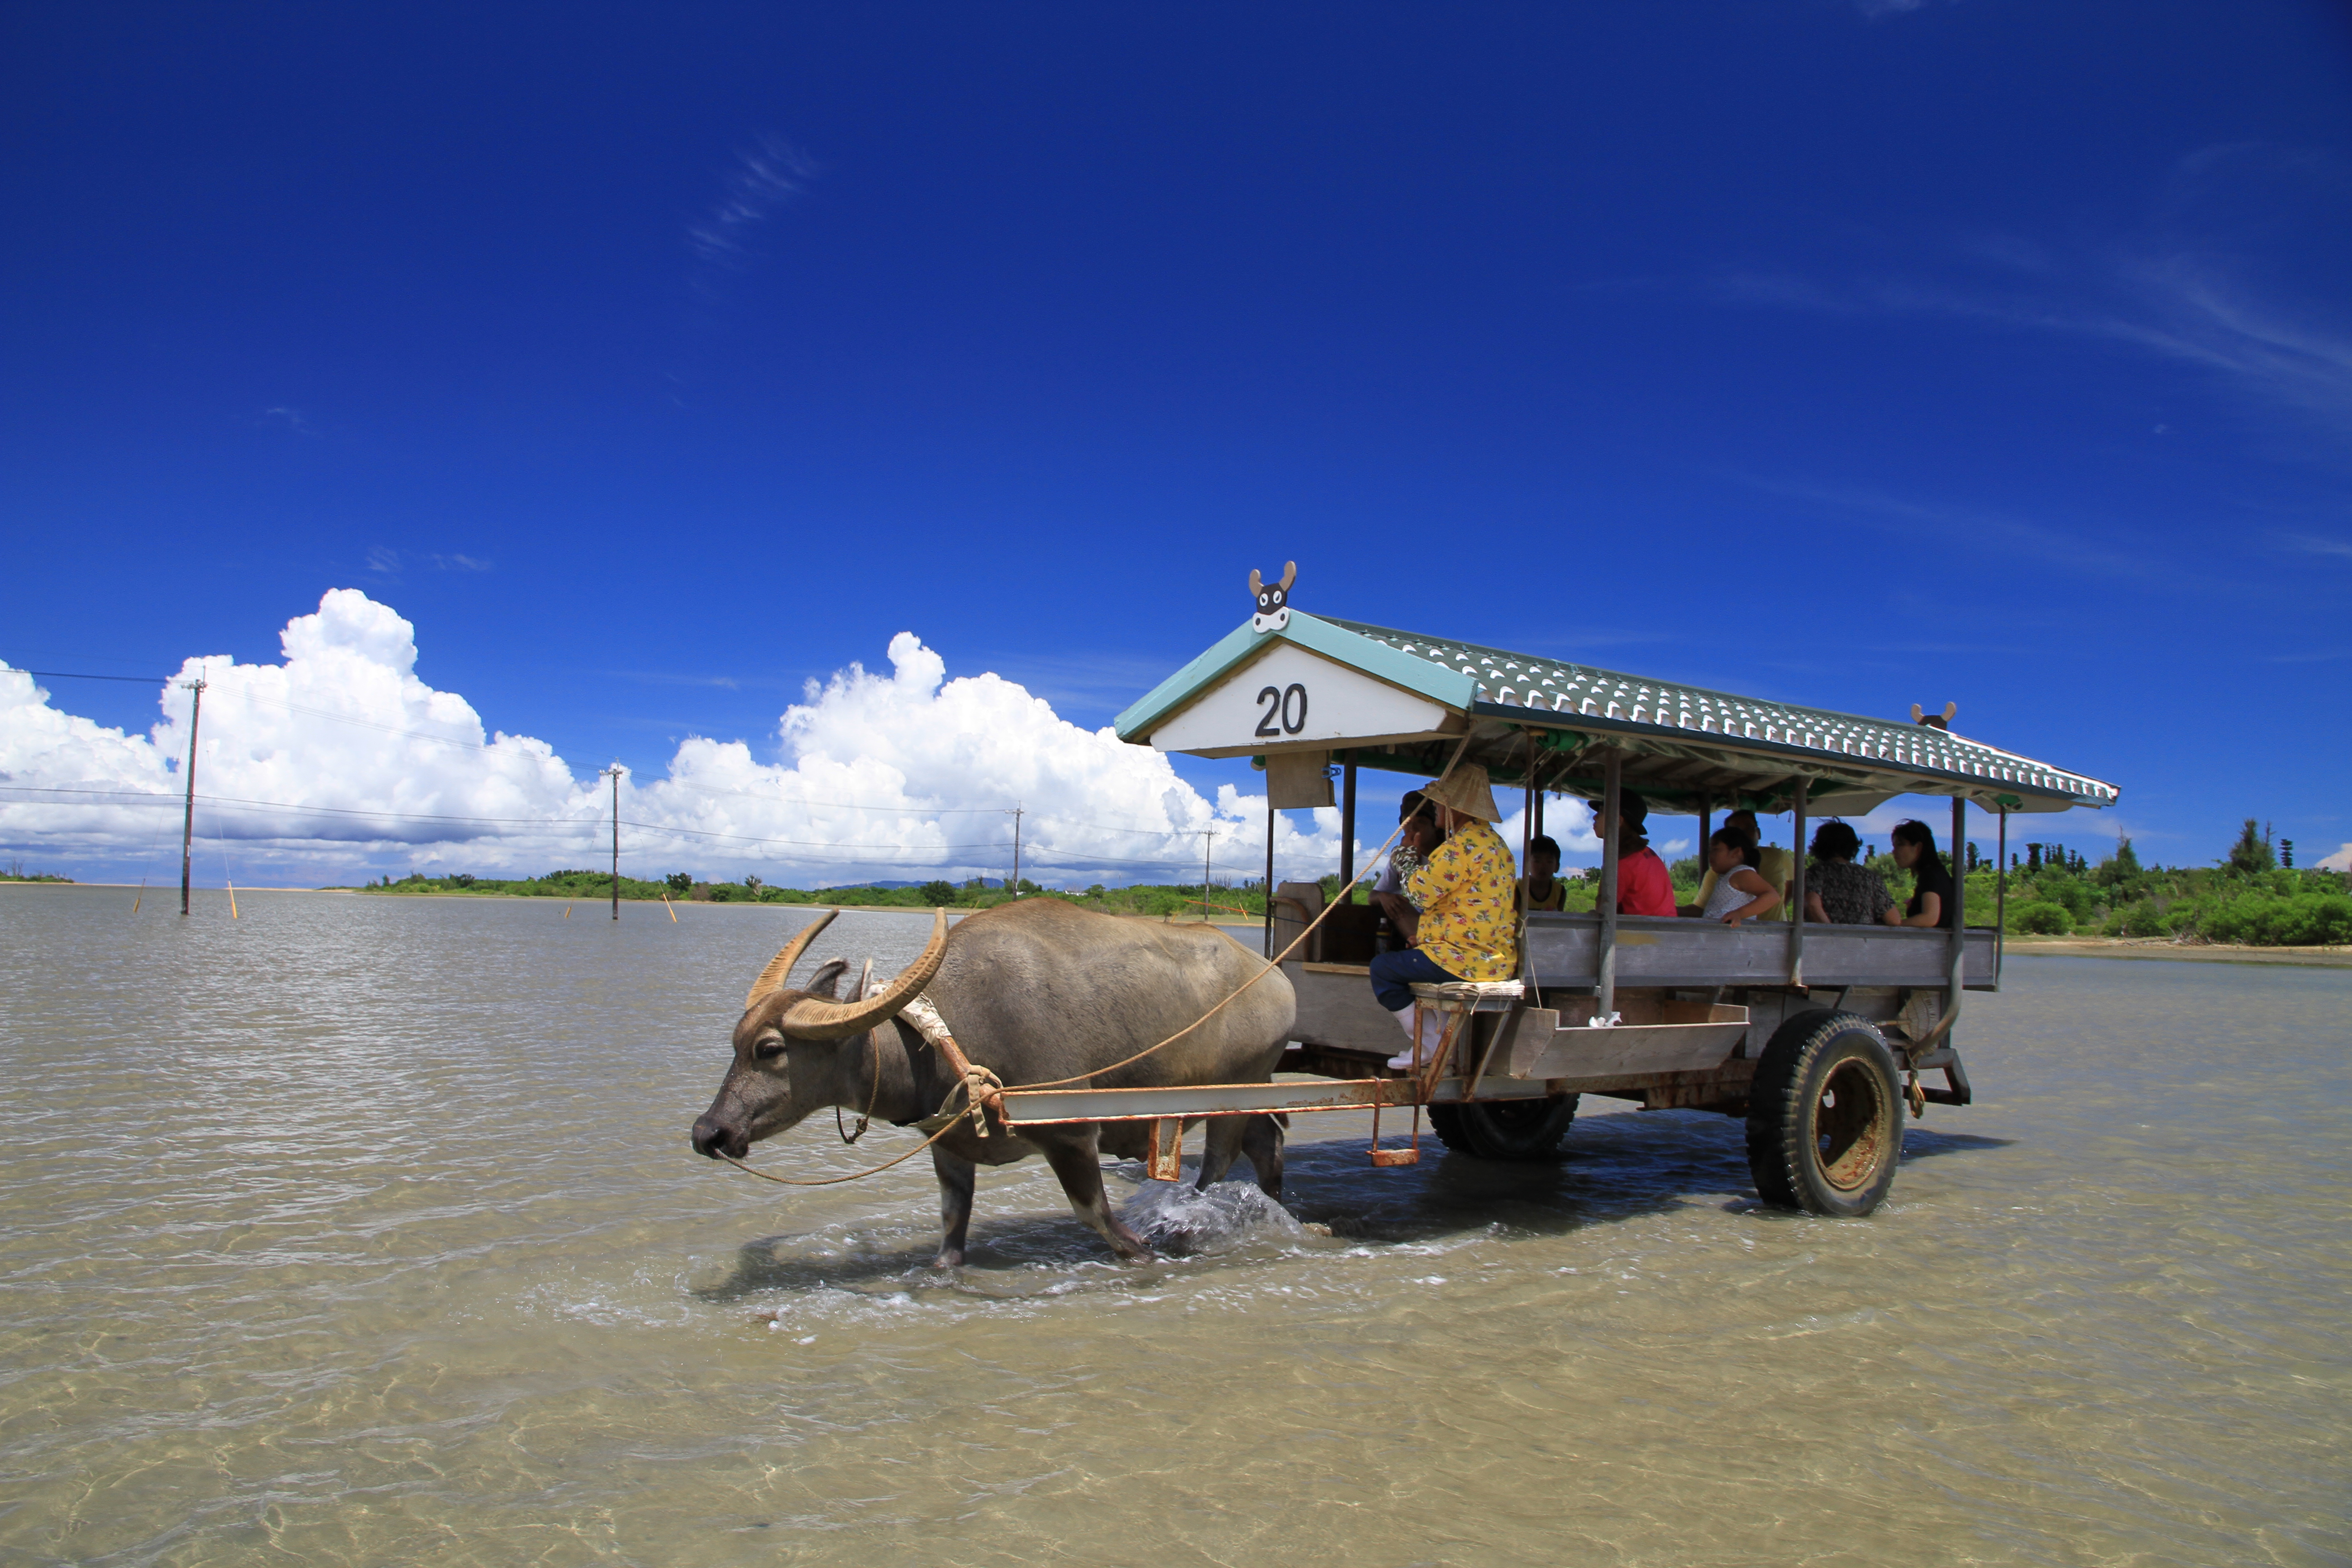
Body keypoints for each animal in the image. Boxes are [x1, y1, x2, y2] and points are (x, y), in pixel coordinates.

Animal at [686, 902, 1298, 1260]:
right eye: (736, 1042)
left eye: (769, 1050)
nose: (707, 1132)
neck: (951, 1038)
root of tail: (1275, 980)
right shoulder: (950, 1148)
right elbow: (952, 1226)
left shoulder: (1071, 1135)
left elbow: (1096, 1215)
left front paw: (1143, 1249)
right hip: (1255, 1088)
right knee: (1266, 1144)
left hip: (1232, 1094)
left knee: (1218, 1164)